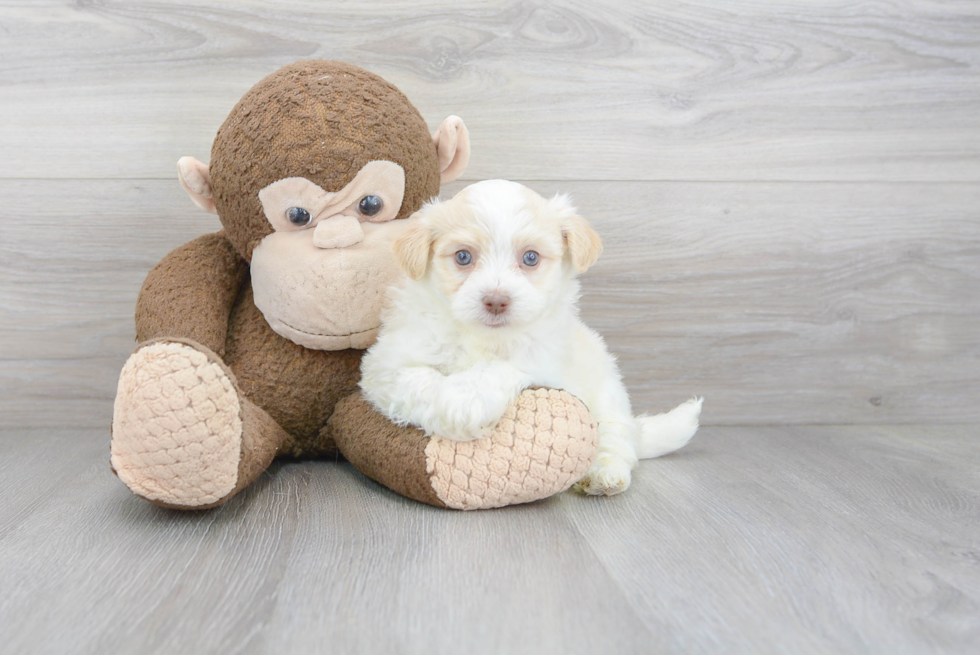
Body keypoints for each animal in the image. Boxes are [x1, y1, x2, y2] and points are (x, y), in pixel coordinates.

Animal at [360, 179, 704, 498]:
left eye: (530, 258)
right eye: (463, 256)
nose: (496, 300)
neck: (482, 338)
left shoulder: (543, 357)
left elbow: (501, 367)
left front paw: (467, 399)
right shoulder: (388, 364)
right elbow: (418, 381)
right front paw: (455, 408)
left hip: (609, 397)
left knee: (615, 439)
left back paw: (603, 475)